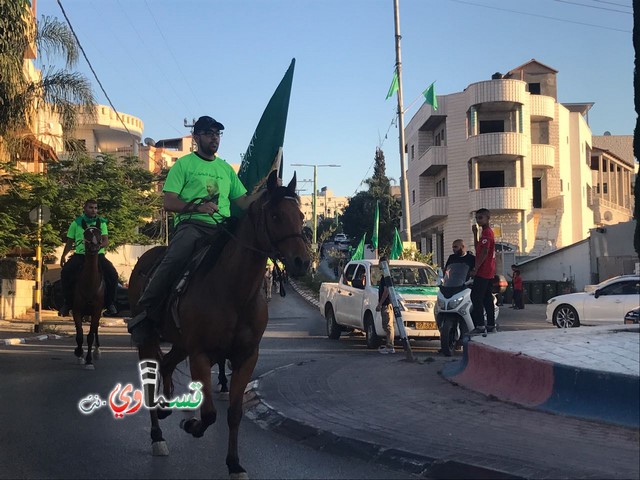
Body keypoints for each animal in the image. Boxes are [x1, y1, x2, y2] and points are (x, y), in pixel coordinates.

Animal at [128, 172, 310, 476]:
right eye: (275, 215)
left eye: (301, 215)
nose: (303, 262)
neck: (235, 292)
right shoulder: (201, 354)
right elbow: (210, 414)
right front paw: (190, 424)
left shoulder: (246, 357)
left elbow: (234, 413)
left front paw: (234, 463)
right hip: (150, 340)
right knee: (151, 383)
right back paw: (157, 435)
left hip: (180, 343)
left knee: (167, 365)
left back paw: (166, 405)